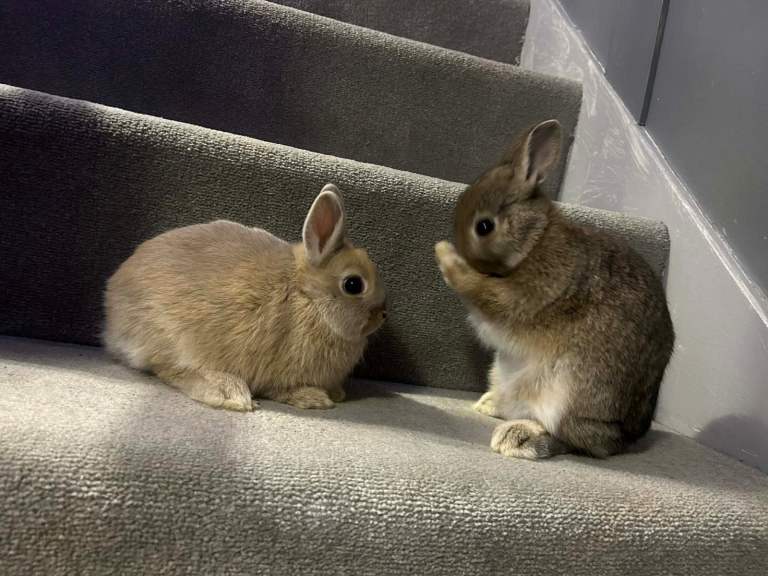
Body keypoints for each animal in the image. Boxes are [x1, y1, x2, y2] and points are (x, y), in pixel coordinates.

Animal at [103, 183, 386, 411]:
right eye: (353, 284)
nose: (382, 315)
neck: (308, 297)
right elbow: (281, 390)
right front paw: (314, 398)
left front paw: (336, 393)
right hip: (172, 337)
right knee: (169, 368)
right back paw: (228, 392)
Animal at [435, 119, 674, 459]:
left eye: (484, 226)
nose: (463, 252)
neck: (533, 241)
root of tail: (626, 437)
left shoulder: (529, 295)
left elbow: (484, 293)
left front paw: (444, 254)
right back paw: (489, 404)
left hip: (567, 392)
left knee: (574, 439)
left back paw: (518, 438)